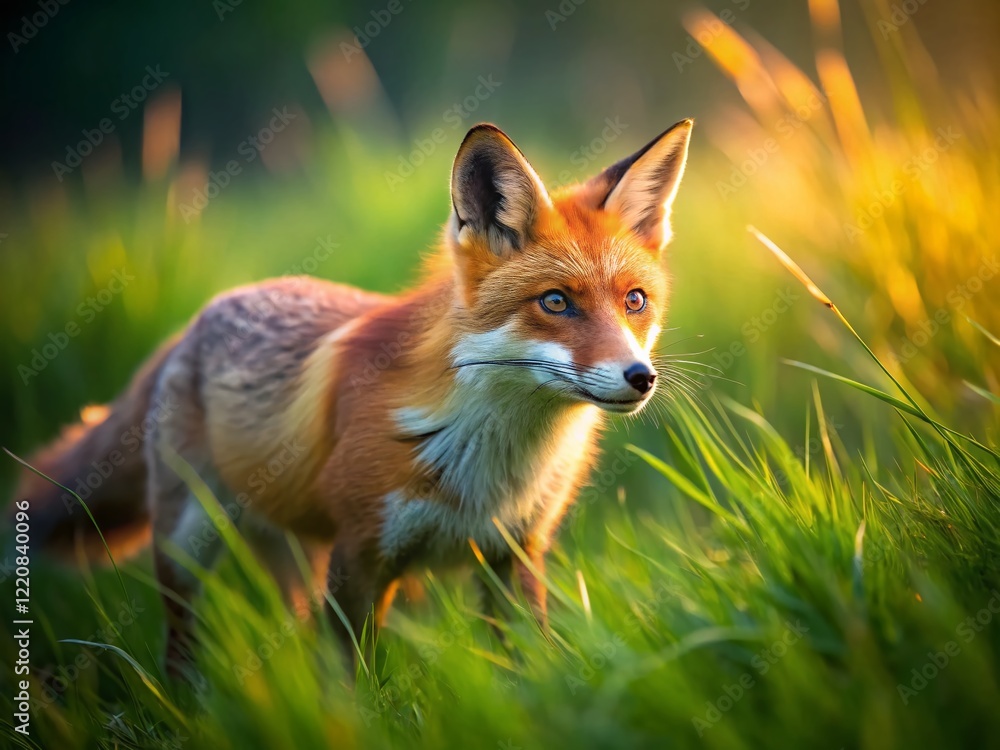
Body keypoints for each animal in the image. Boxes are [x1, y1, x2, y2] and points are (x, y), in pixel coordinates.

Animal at [13, 119, 693, 676]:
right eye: (555, 302)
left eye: (635, 301)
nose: (640, 377)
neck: (490, 461)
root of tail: (194, 321)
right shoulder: (362, 555)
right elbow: (358, 681)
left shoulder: (515, 555)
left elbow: (530, 669)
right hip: (188, 543)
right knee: (182, 650)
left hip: (292, 550)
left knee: (294, 630)